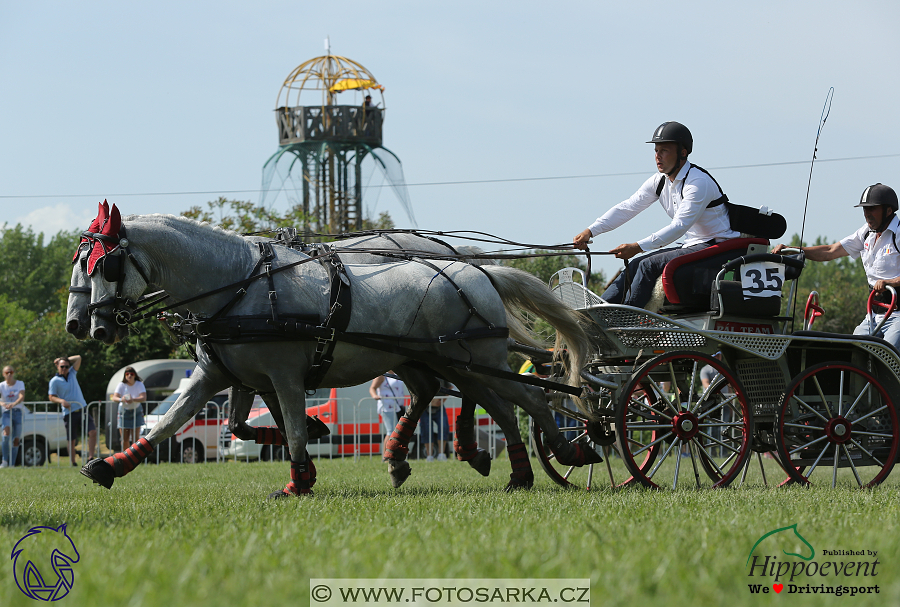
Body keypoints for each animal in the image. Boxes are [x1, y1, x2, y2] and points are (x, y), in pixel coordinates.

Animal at [79, 211, 596, 496]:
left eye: (105, 265)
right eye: (82, 266)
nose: (96, 325)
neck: (240, 285)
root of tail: (479, 273)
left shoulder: (284, 376)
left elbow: (289, 427)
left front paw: (297, 480)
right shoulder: (218, 375)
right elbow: (172, 422)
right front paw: (110, 465)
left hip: (481, 359)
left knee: (529, 400)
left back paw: (569, 449)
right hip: (455, 363)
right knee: (492, 406)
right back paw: (509, 470)